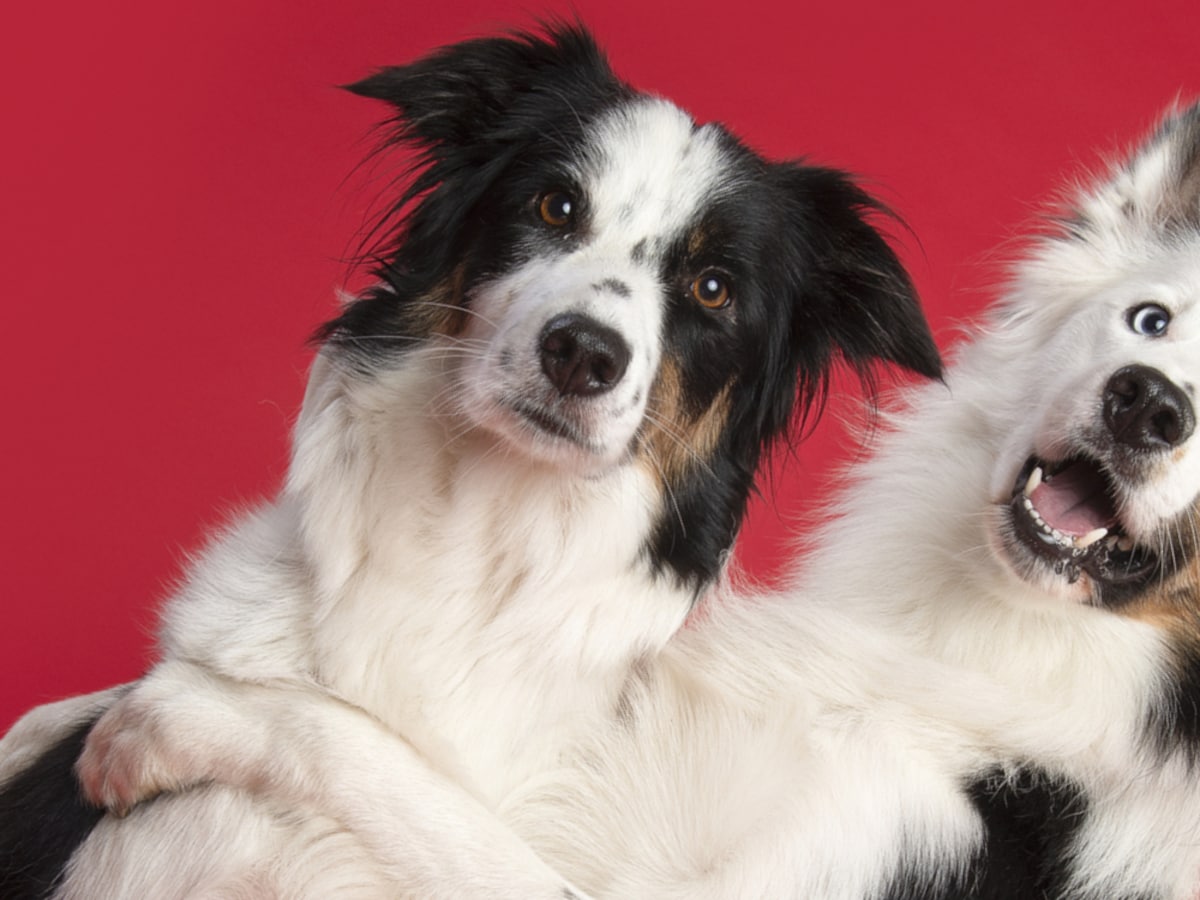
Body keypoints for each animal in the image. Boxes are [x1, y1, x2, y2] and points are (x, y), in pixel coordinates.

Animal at [0, 22, 936, 900]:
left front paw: (176, 723)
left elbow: (367, 758)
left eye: (714, 289)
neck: (472, 544)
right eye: (555, 206)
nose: (582, 353)